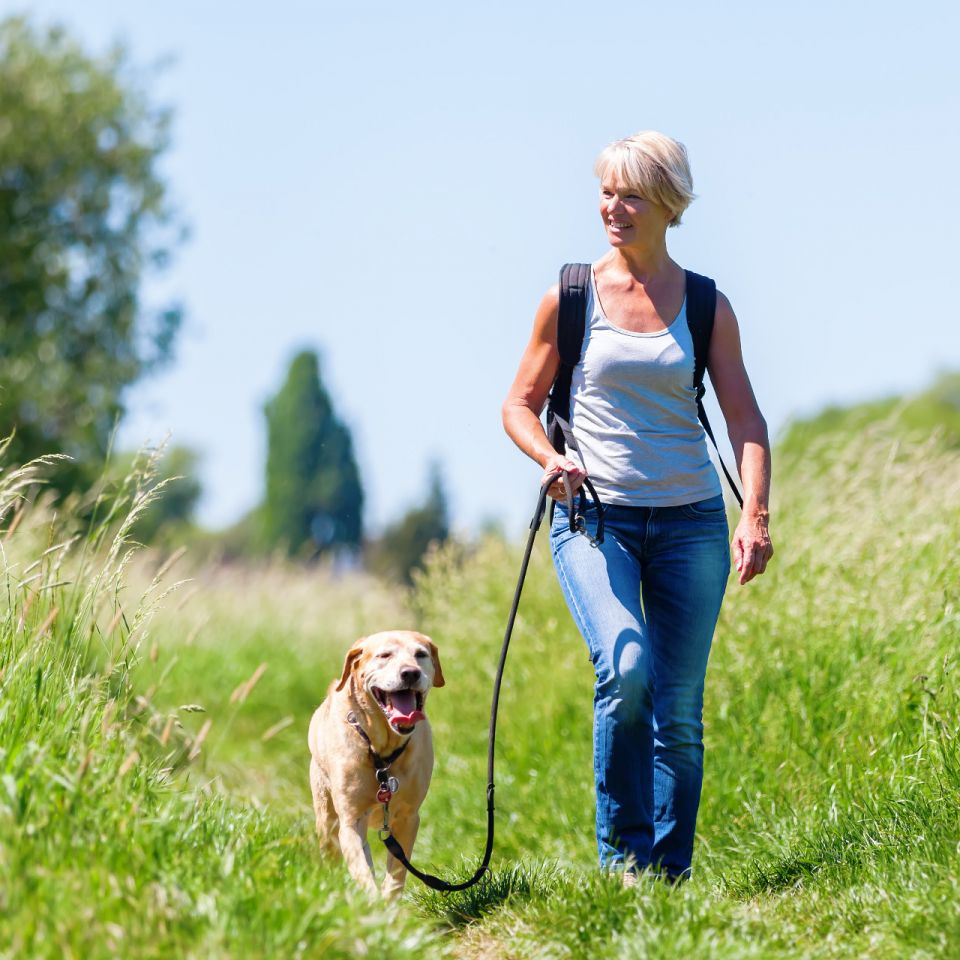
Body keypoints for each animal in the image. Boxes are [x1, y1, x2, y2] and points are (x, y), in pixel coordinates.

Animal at [306, 632, 444, 896]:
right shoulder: (351, 821)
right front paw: (370, 900)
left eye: (420, 654)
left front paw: (388, 901)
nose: (410, 673)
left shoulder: (408, 818)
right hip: (326, 817)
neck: (382, 752)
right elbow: (361, 871)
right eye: (384, 655)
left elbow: (397, 874)